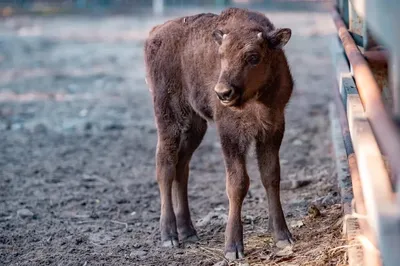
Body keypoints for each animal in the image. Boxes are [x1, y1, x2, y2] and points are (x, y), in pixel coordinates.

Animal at [144, 6, 294, 260]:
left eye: (253, 56)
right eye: (221, 55)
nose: (223, 92)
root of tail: (155, 33)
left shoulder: (273, 129)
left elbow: (271, 176)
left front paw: (282, 235)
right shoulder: (230, 134)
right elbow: (237, 183)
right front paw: (233, 247)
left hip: (195, 126)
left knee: (182, 167)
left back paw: (188, 231)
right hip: (168, 117)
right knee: (165, 165)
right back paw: (169, 235)